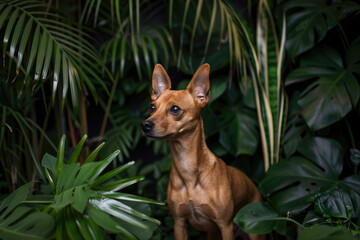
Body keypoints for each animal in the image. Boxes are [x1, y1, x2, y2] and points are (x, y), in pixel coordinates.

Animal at [142, 64, 262, 240]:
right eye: (152, 107)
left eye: (175, 109)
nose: (145, 125)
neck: (188, 171)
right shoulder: (179, 224)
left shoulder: (225, 226)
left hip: (253, 230)